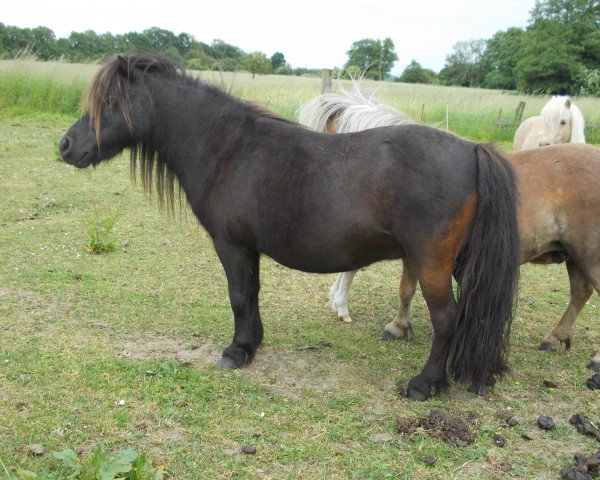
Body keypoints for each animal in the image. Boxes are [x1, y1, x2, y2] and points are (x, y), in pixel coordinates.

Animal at [59, 51, 520, 402]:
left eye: (110, 103)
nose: (65, 145)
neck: (227, 148)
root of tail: (472, 150)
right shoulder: (248, 248)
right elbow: (251, 294)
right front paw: (253, 343)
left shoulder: (230, 245)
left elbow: (238, 296)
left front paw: (236, 352)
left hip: (431, 264)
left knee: (447, 319)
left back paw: (425, 384)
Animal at [300, 88, 600, 372]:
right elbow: (405, 288)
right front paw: (398, 325)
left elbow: (396, 284)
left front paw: (373, 316)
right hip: (574, 256)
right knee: (580, 293)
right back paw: (555, 338)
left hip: (589, 257)